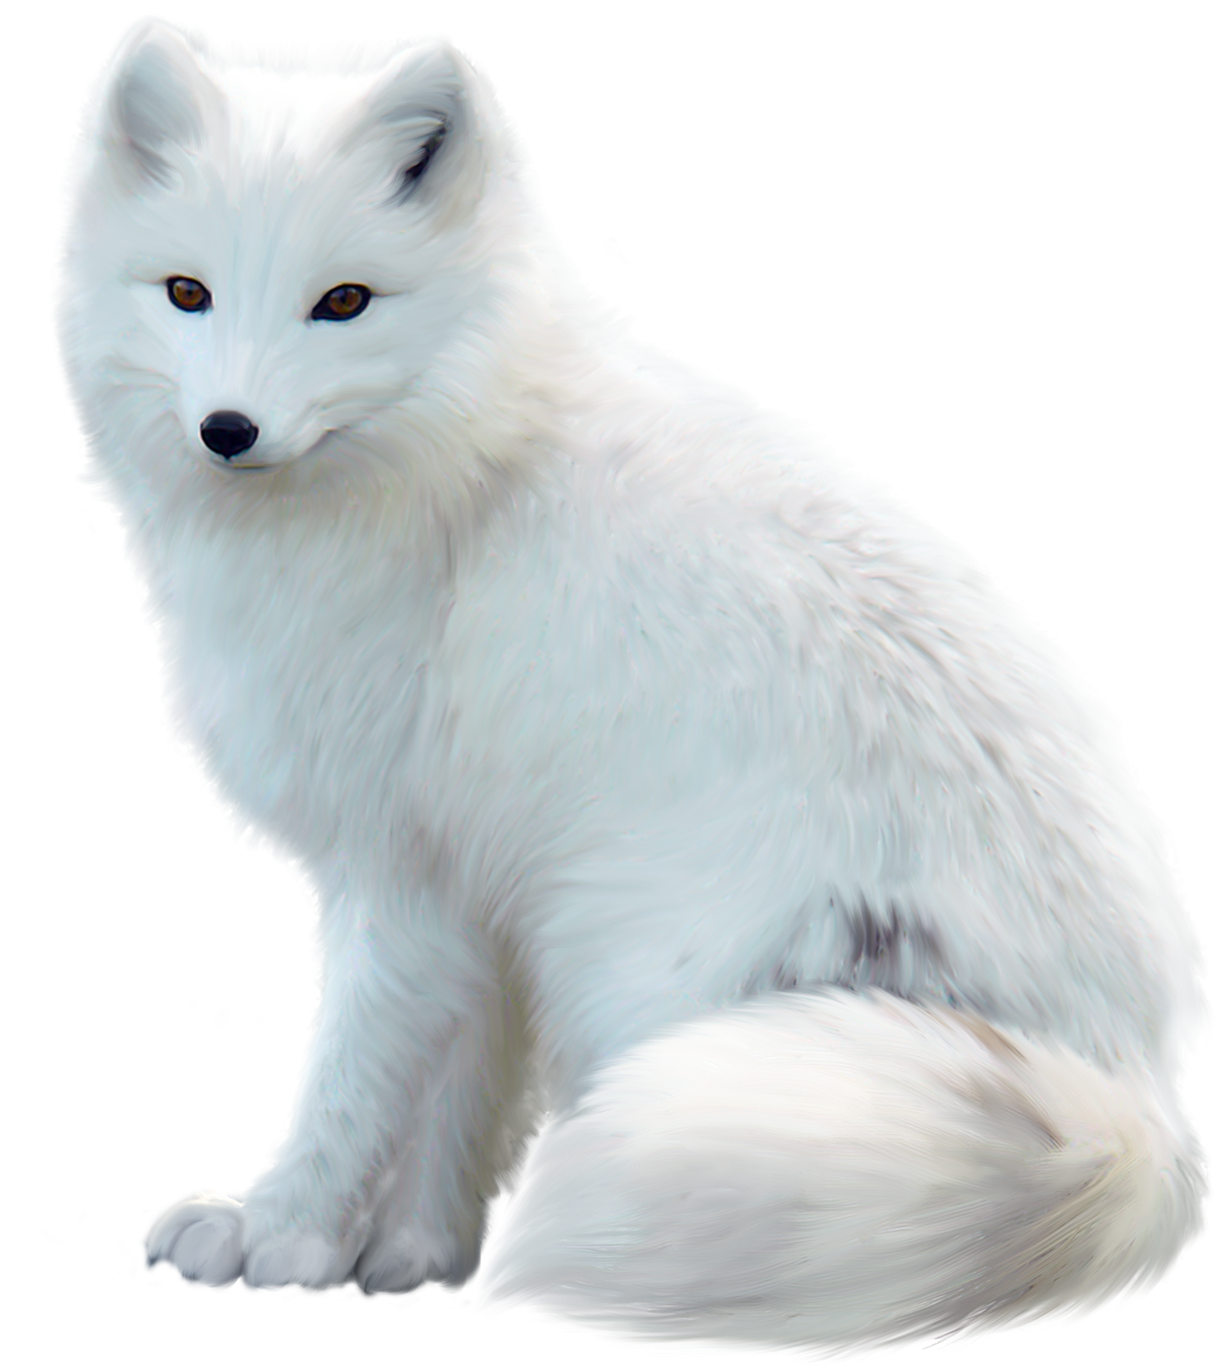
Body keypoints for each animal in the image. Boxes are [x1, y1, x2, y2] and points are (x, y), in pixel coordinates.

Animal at [49, 13, 1209, 1359]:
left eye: (341, 302)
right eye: (186, 292)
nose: (227, 429)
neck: (453, 469)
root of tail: (1132, 1102)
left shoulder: (401, 879)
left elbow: (349, 1088)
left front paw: (279, 1236)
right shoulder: (480, 896)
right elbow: (457, 1104)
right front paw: (410, 1258)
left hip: (656, 981)